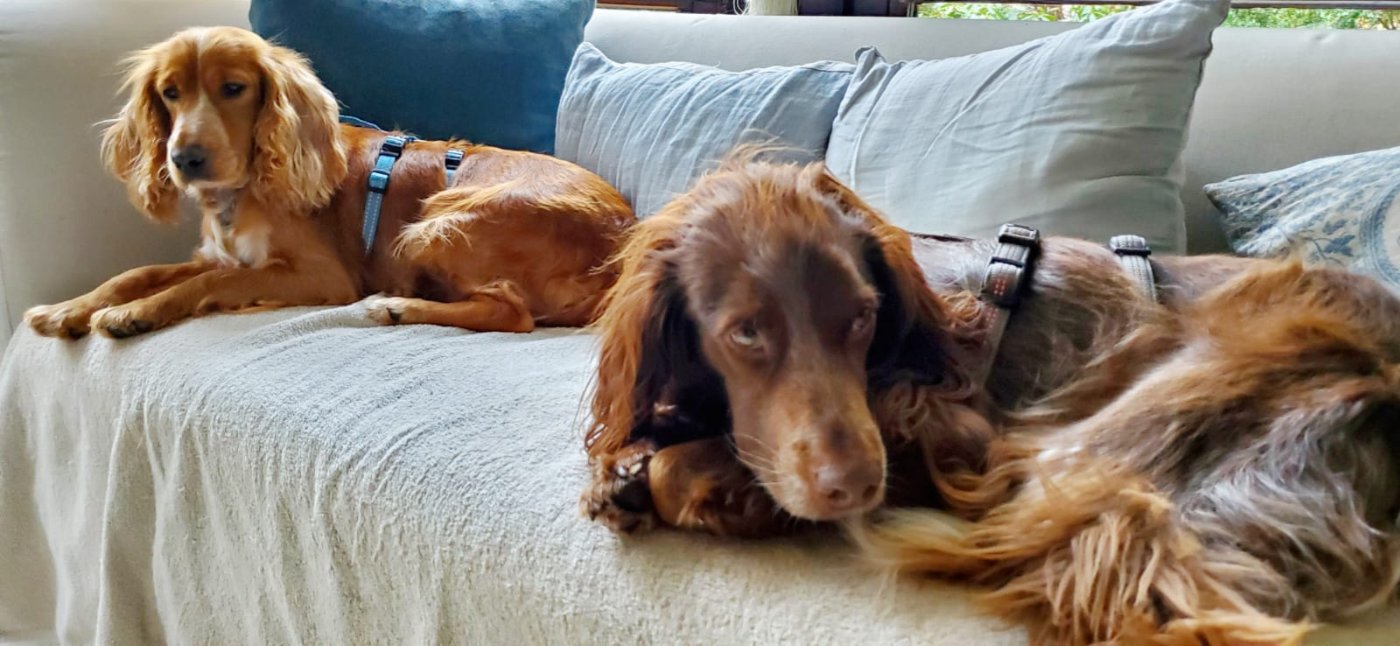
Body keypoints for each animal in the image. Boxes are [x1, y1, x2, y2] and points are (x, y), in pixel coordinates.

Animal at [24, 27, 633, 340]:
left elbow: (214, 282)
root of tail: (620, 246)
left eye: (234, 88)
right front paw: (70, 308)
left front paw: (135, 314)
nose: (185, 158)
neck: (244, 192)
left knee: (513, 313)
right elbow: (141, 272)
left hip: (441, 222)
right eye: (169, 93)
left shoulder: (322, 275)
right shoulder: (224, 253)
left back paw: (399, 307)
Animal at [580, 156, 1400, 643]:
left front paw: (699, 485)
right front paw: (637, 465)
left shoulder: (954, 427)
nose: (855, 486)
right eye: (746, 332)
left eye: (863, 317)